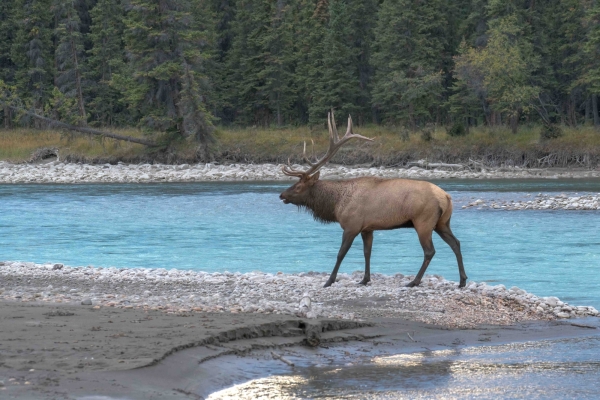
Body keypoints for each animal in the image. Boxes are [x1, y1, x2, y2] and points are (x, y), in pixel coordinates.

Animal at [278, 111, 466, 290]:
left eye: (298, 186)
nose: (282, 195)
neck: (336, 204)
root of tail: (446, 197)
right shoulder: (367, 228)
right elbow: (367, 252)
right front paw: (364, 279)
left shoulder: (351, 225)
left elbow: (341, 253)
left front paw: (329, 281)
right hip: (442, 222)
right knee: (456, 243)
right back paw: (462, 281)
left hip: (423, 222)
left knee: (430, 251)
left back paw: (414, 281)